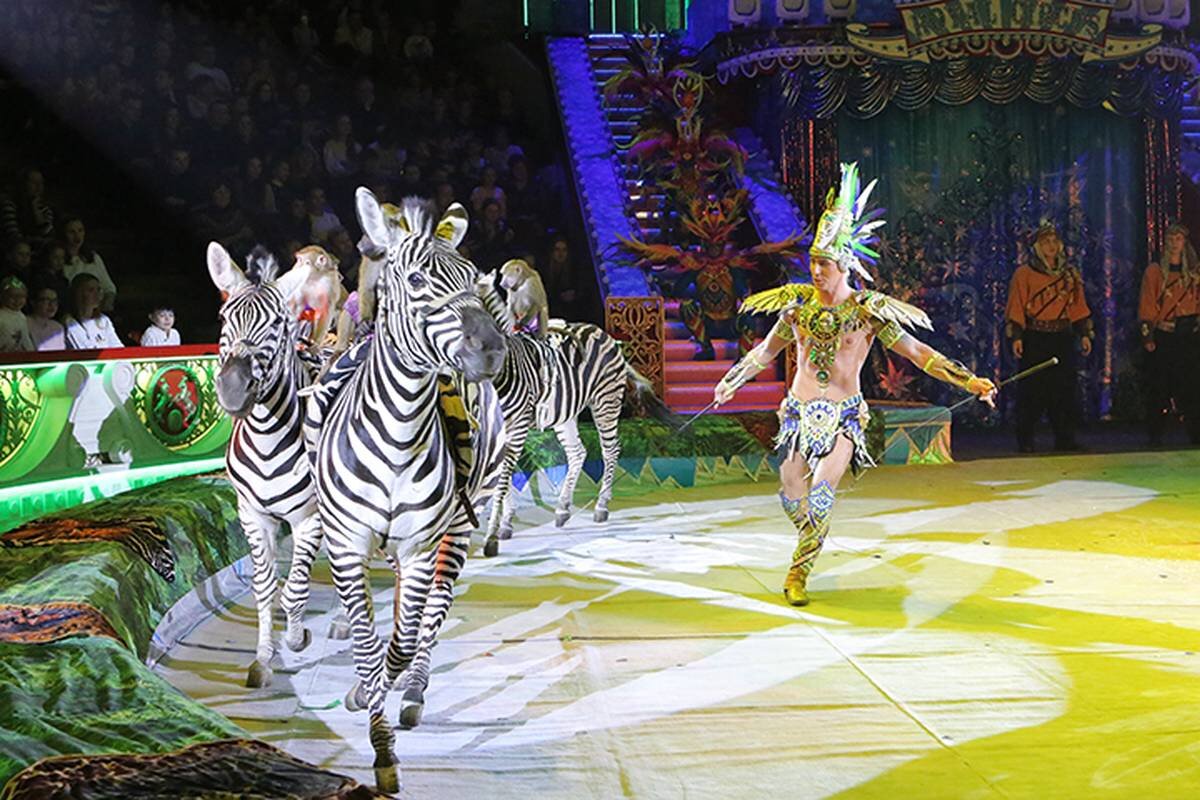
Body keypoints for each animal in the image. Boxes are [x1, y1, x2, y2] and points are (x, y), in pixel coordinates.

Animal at [207, 242, 324, 688]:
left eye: (277, 323)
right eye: (224, 318)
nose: (232, 388)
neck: (268, 437)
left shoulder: (310, 518)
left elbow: (294, 590)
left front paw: (295, 639)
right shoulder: (252, 515)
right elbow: (264, 587)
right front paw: (262, 658)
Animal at [311, 190, 507, 793]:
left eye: (472, 276)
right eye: (417, 280)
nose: (492, 352)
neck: (397, 433)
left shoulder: (422, 545)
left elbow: (400, 637)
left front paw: (381, 692)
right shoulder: (346, 546)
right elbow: (368, 641)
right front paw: (378, 743)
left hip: (461, 524)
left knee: (433, 608)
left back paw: (414, 688)